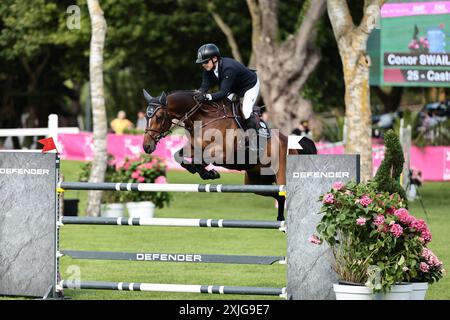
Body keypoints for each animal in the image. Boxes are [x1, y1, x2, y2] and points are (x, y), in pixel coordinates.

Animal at [141, 89, 316, 221]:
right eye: (146, 117)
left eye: (159, 117)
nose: (146, 146)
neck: (203, 118)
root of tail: (291, 143)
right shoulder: (193, 147)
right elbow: (180, 156)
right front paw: (204, 172)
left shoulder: (223, 153)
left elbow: (202, 158)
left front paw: (208, 172)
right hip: (256, 183)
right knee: (279, 196)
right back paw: (280, 220)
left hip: (281, 177)